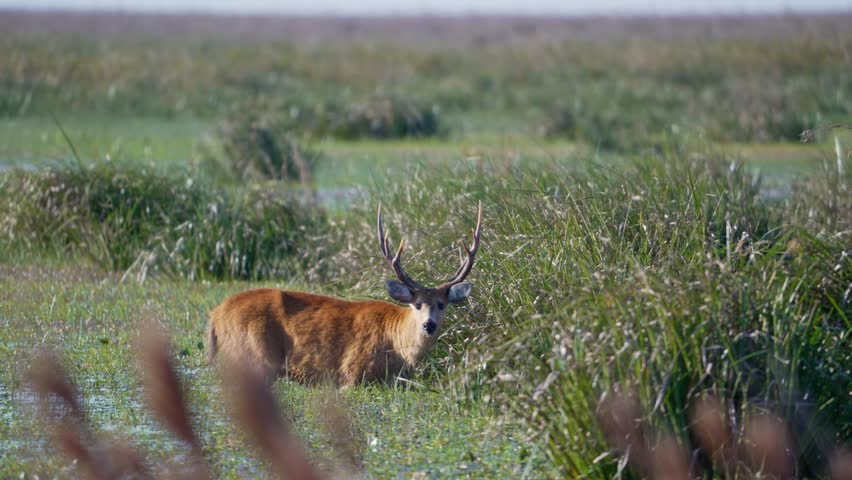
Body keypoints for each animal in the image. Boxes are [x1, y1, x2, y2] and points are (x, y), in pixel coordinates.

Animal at [206, 203, 482, 386]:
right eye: (416, 304)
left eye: (442, 304)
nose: (429, 325)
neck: (397, 347)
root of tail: (215, 314)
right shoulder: (352, 372)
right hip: (252, 352)